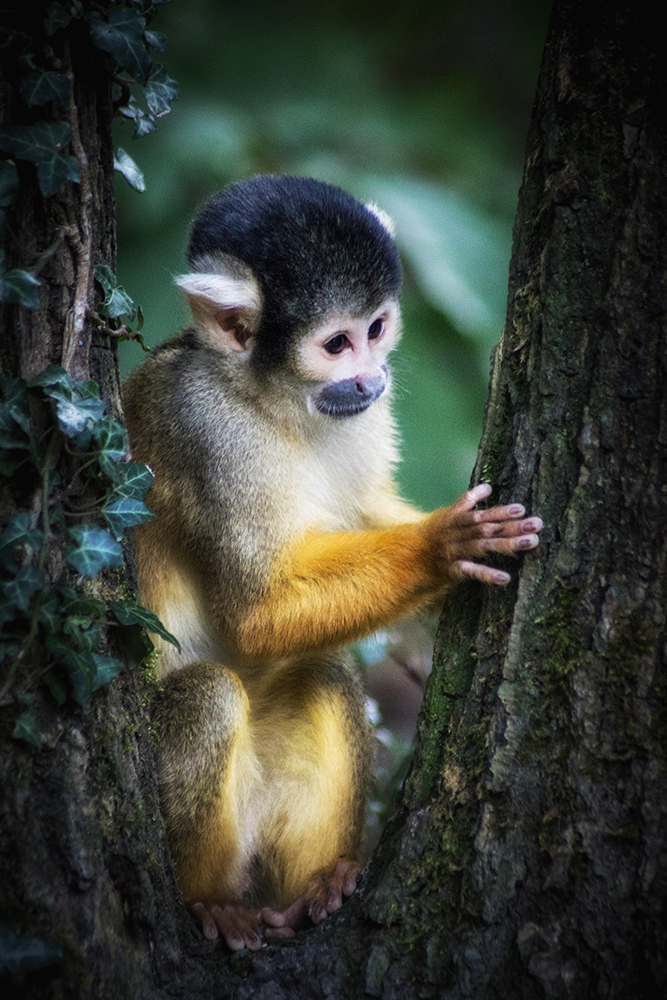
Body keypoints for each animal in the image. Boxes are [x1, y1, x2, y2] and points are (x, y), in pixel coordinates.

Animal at [124, 176, 544, 948]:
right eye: (335, 343)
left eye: (375, 330)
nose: (371, 378)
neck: (269, 399)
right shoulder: (206, 428)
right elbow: (256, 611)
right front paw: (442, 546)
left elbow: (363, 512)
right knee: (209, 696)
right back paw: (209, 902)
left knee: (324, 673)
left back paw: (317, 888)